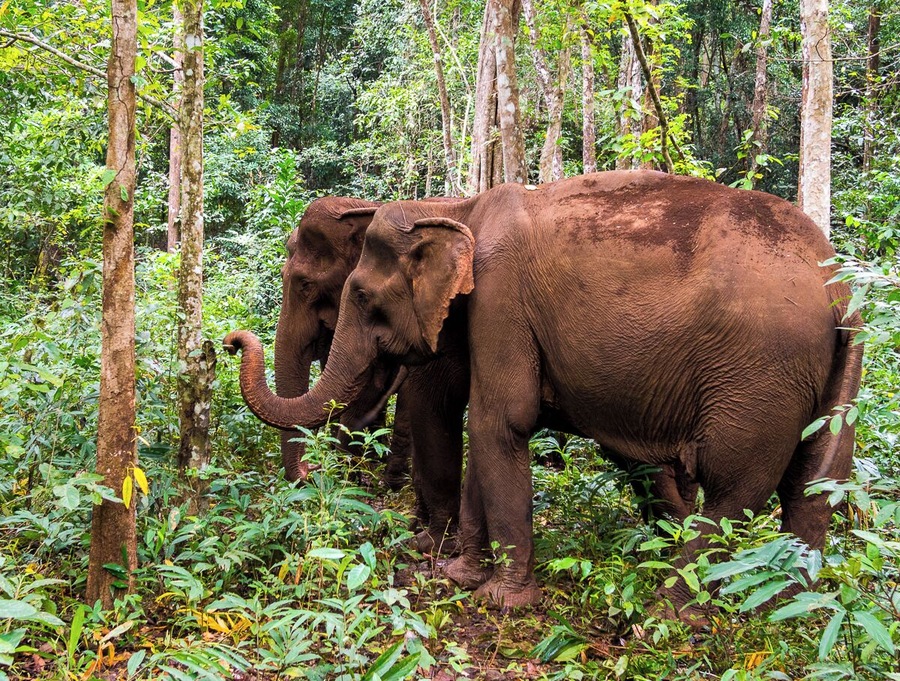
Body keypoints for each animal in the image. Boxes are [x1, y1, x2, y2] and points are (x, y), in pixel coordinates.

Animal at [225, 170, 862, 618]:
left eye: (353, 294)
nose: (229, 341)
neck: (458, 208)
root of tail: (838, 288)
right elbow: (485, 422)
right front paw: (459, 574)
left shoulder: (499, 299)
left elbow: (492, 419)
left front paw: (495, 596)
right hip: (831, 376)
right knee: (814, 486)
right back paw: (791, 609)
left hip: (758, 377)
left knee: (735, 490)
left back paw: (671, 611)